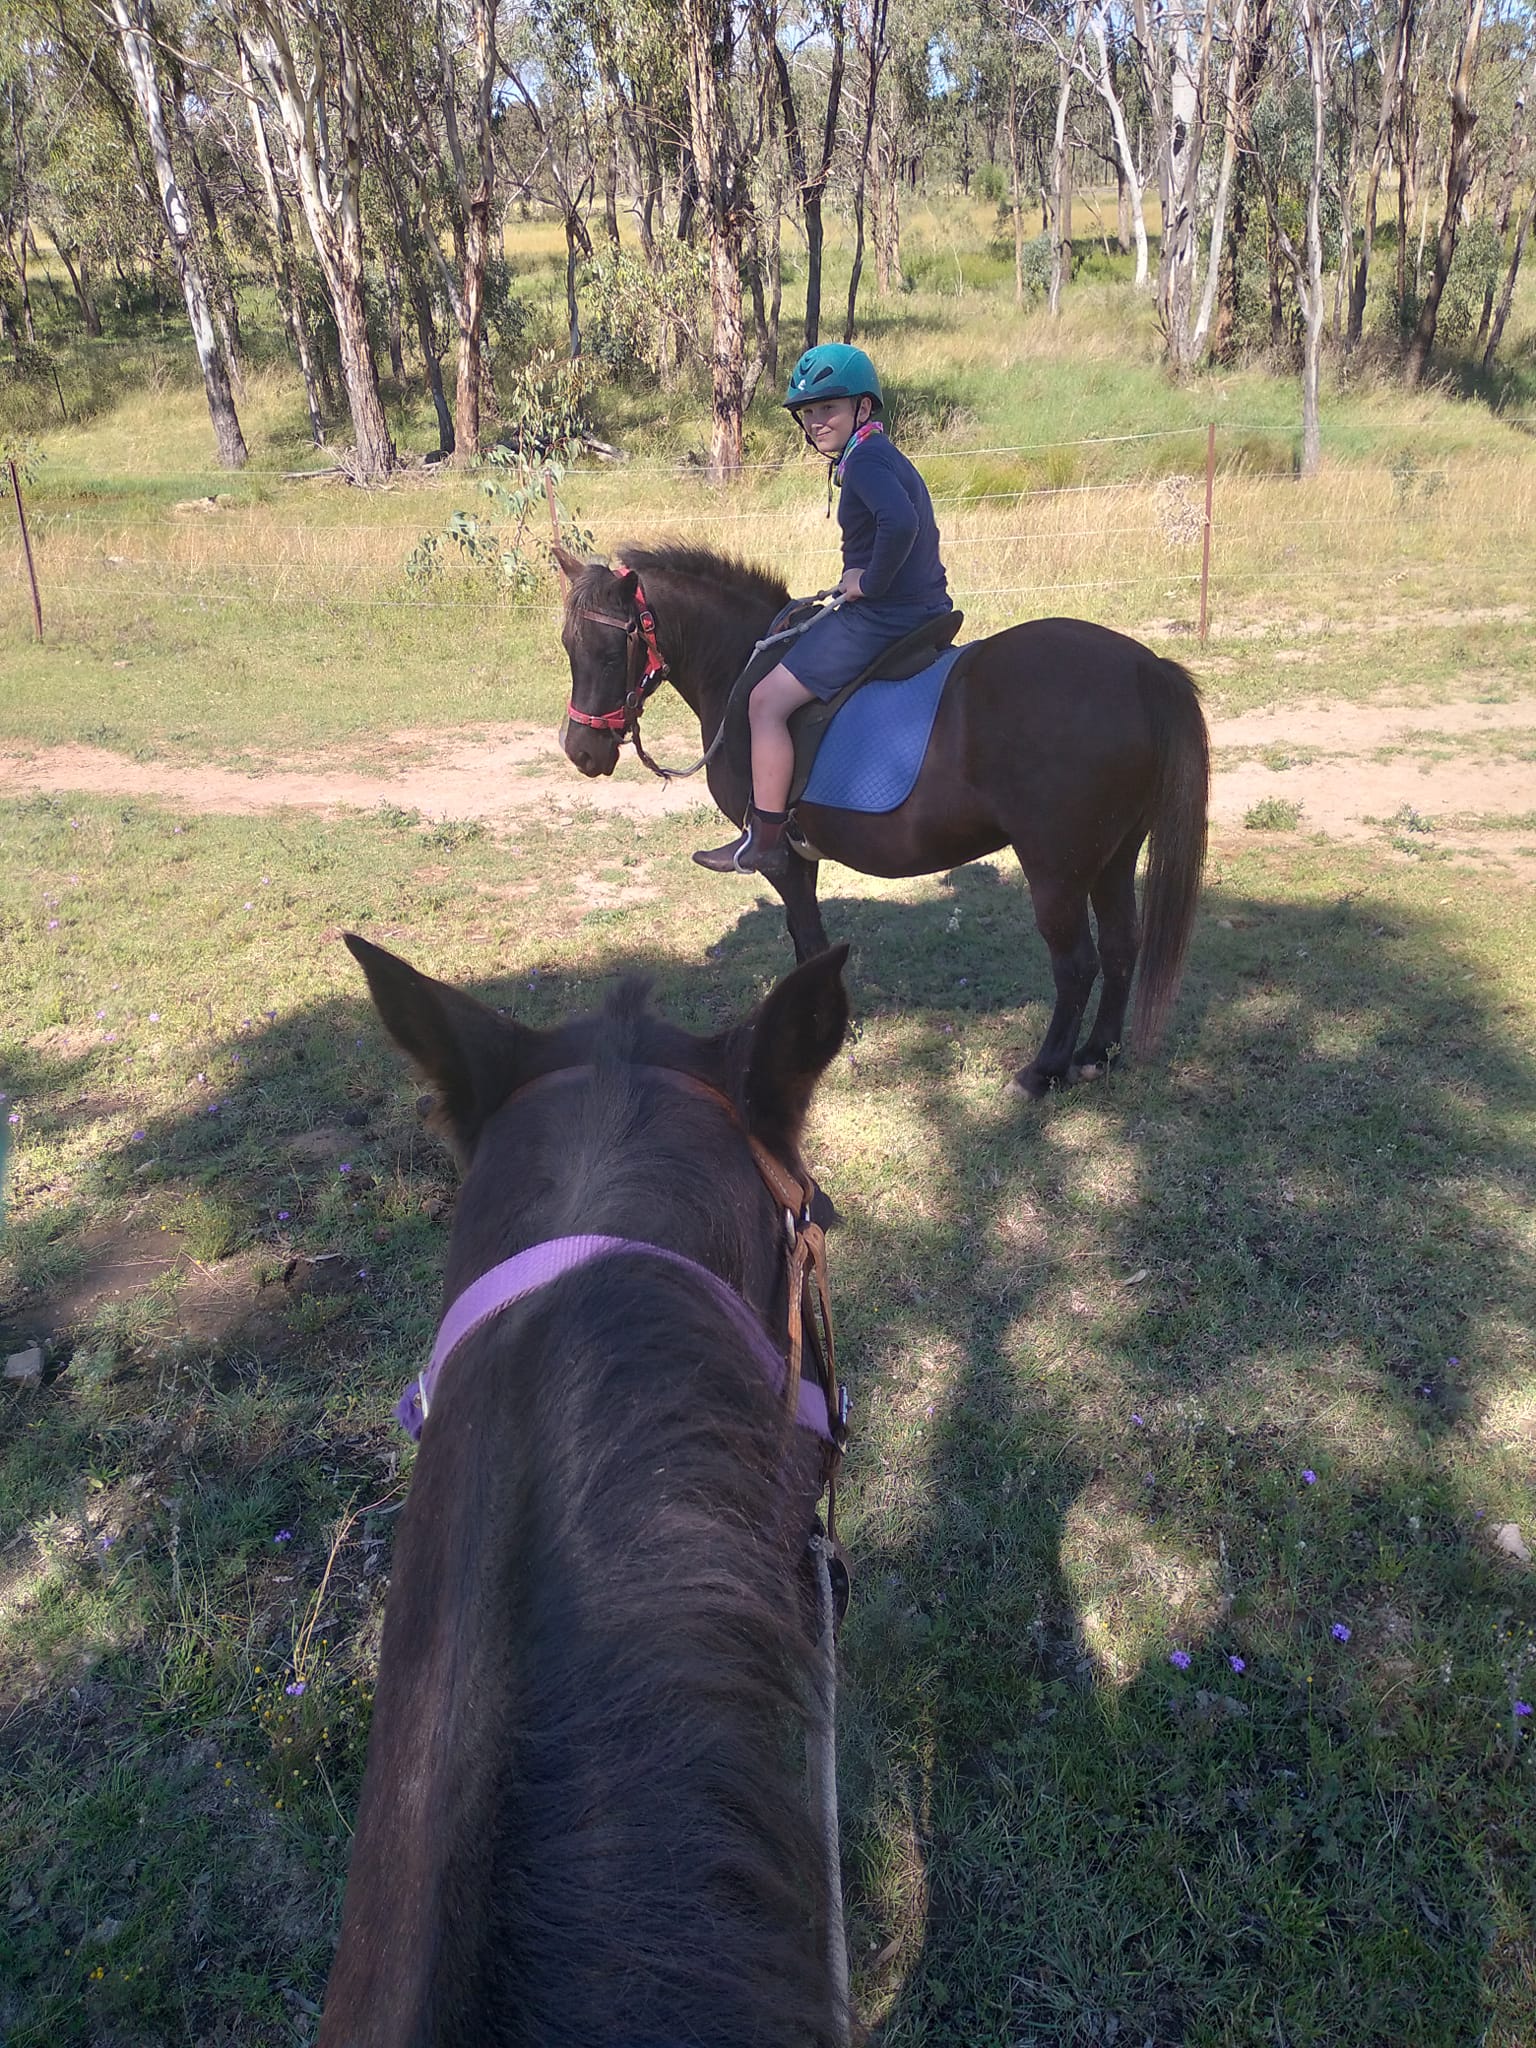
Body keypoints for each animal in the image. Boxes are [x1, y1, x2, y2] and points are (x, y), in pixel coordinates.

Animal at [556, 542, 1210, 1100]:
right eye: (566, 647)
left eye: (611, 653)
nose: (580, 751)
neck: (742, 667)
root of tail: (1144, 668)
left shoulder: (782, 857)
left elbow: (808, 939)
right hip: (1114, 857)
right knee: (1123, 944)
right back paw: (1098, 1055)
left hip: (1057, 870)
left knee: (1076, 965)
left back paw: (1042, 1072)